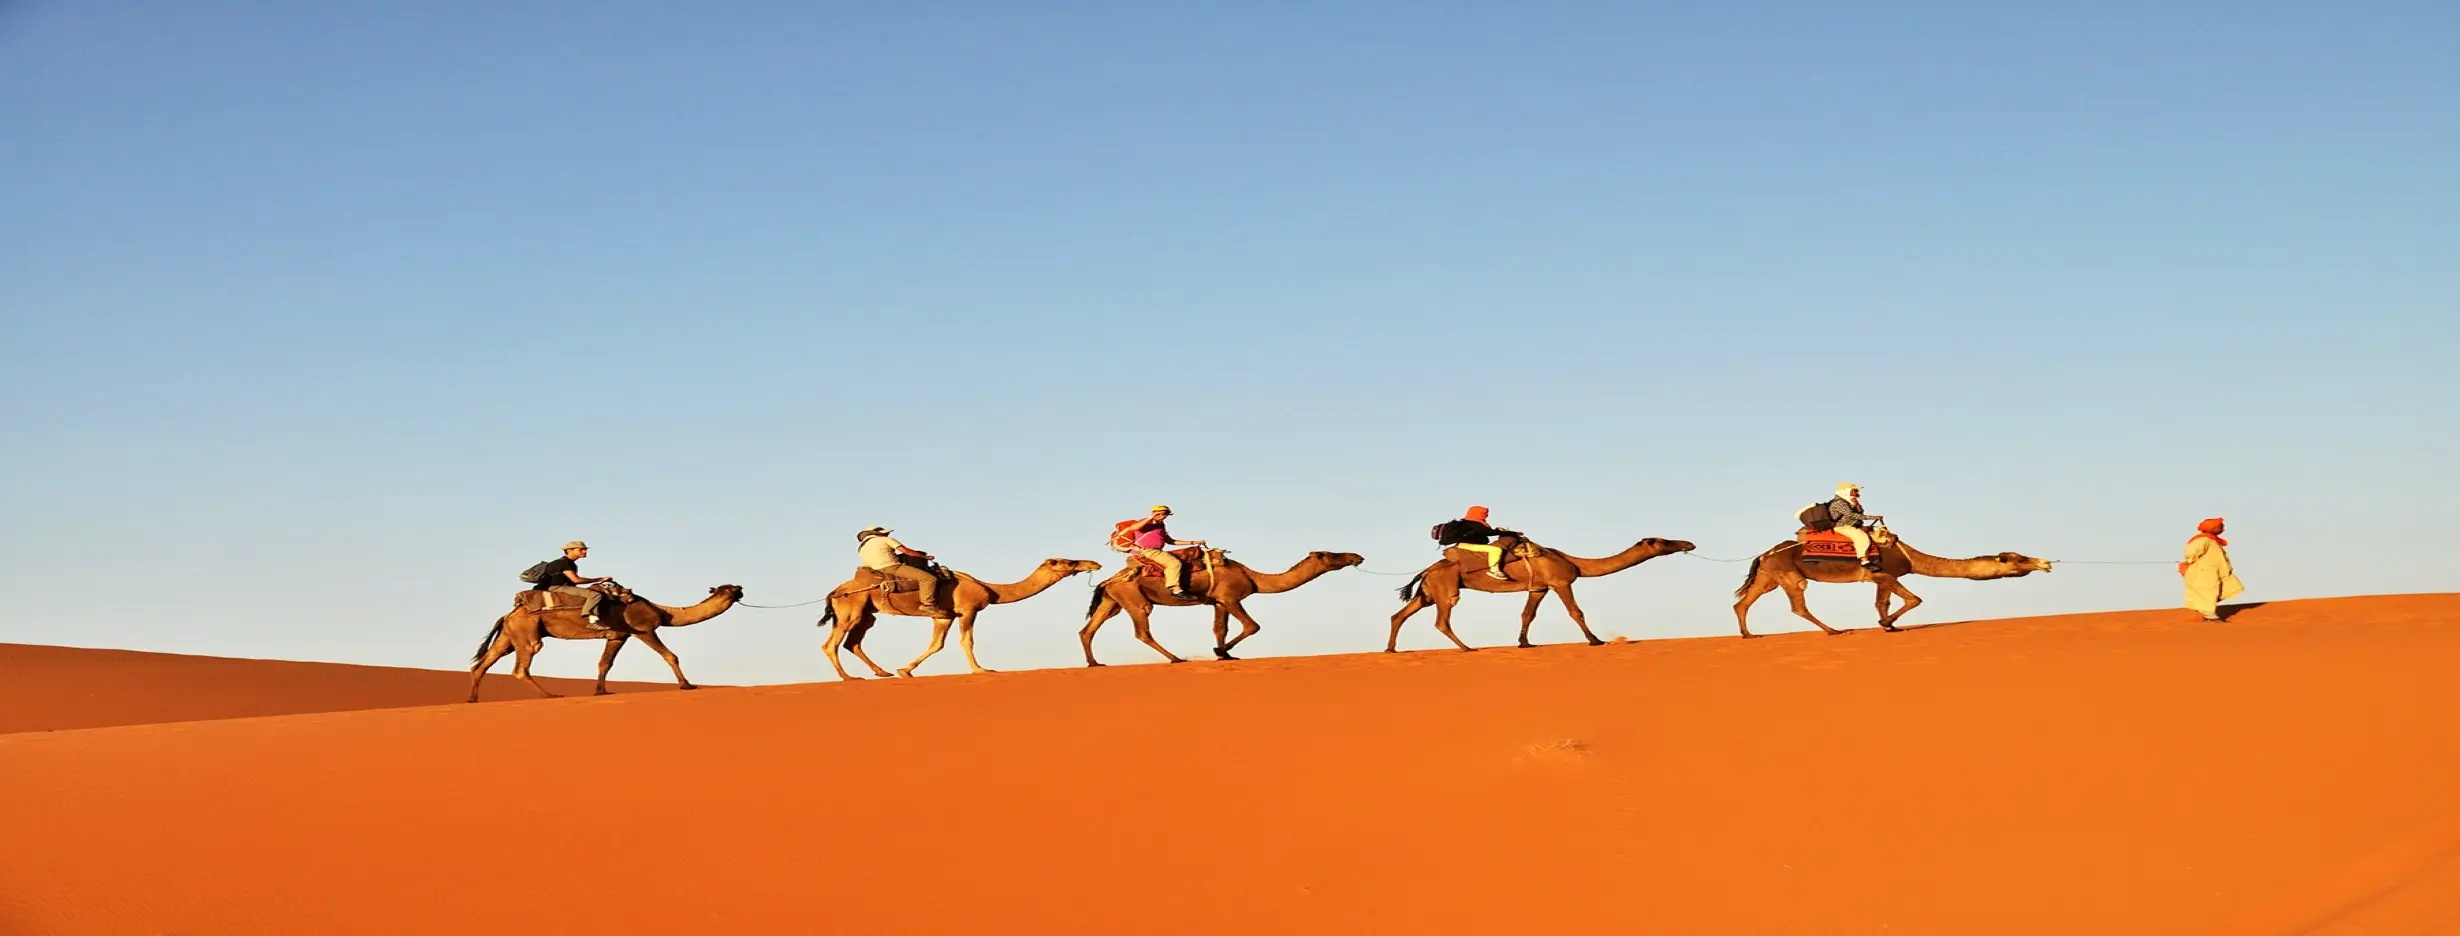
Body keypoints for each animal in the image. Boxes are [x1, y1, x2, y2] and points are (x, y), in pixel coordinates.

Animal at [466, 583, 744, 702]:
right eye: (730, 589)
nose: (741, 587)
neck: (664, 612)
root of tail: (509, 614)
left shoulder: (618, 636)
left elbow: (604, 664)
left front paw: (601, 691)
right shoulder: (643, 630)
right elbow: (670, 655)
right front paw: (687, 685)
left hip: (509, 636)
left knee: (483, 663)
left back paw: (472, 699)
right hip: (528, 634)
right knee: (521, 668)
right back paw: (551, 695)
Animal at [817, 558, 1103, 680]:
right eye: (1068, 562)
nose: (1093, 563)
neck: (991, 589)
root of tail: (835, 591)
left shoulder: (944, 616)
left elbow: (936, 644)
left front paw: (905, 670)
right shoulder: (968, 610)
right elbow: (967, 641)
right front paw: (981, 670)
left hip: (867, 614)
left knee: (852, 642)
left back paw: (882, 672)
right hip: (851, 609)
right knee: (831, 644)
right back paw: (849, 678)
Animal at [1080, 549, 1364, 666]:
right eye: (1333, 554)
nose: (1356, 557)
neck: (1255, 578)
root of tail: (1108, 580)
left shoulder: (1217, 601)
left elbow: (1220, 628)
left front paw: (1225, 655)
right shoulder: (1230, 598)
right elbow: (1252, 626)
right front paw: (1220, 651)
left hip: (1112, 600)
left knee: (1088, 630)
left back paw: (1095, 664)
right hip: (1134, 598)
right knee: (1142, 630)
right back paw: (1176, 658)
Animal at [1387, 537, 1695, 652]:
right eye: (1663, 541)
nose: (1688, 543)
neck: (1574, 562)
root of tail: (1426, 570)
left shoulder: (1539, 587)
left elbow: (1528, 614)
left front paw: (1524, 644)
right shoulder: (1560, 582)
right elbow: (1575, 611)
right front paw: (1596, 641)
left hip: (1427, 592)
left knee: (1399, 614)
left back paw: (1391, 649)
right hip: (1446, 588)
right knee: (1442, 619)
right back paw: (1466, 648)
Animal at [1731, 527, 2052, 637]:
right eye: (2020, 559)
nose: (2045, 563)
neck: (1911, 557)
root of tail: (1763, 554)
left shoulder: (1883, 579)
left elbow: (1882, 602)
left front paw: (1890, 626)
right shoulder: (1883, 573)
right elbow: (1913, 599)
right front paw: (1886, 625)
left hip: (1769, 575)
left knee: (1744, 602)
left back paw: (1749, 635)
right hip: (1787, 573)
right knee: (1798, 603)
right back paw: (1835, 631)